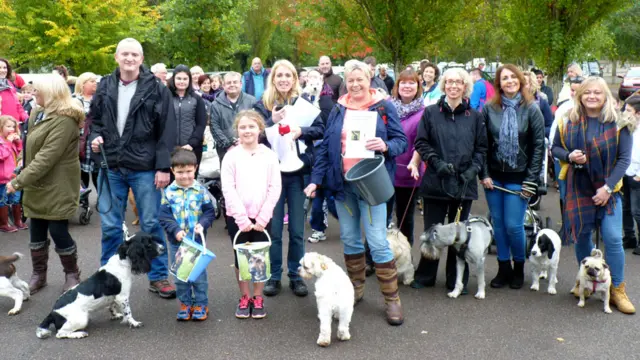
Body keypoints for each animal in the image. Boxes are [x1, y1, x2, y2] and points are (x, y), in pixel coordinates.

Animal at [34, 232, 165, 338]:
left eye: (152, 239)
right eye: (148, 244)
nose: (163, 248)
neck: (122, 262)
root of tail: (52, 313)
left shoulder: (114, 297)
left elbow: (112, 306)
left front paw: (115, 315)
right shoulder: (122, 297)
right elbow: (128, 312)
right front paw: (133, 323)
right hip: (81, 319)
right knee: (60, 333)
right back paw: (79, 334)